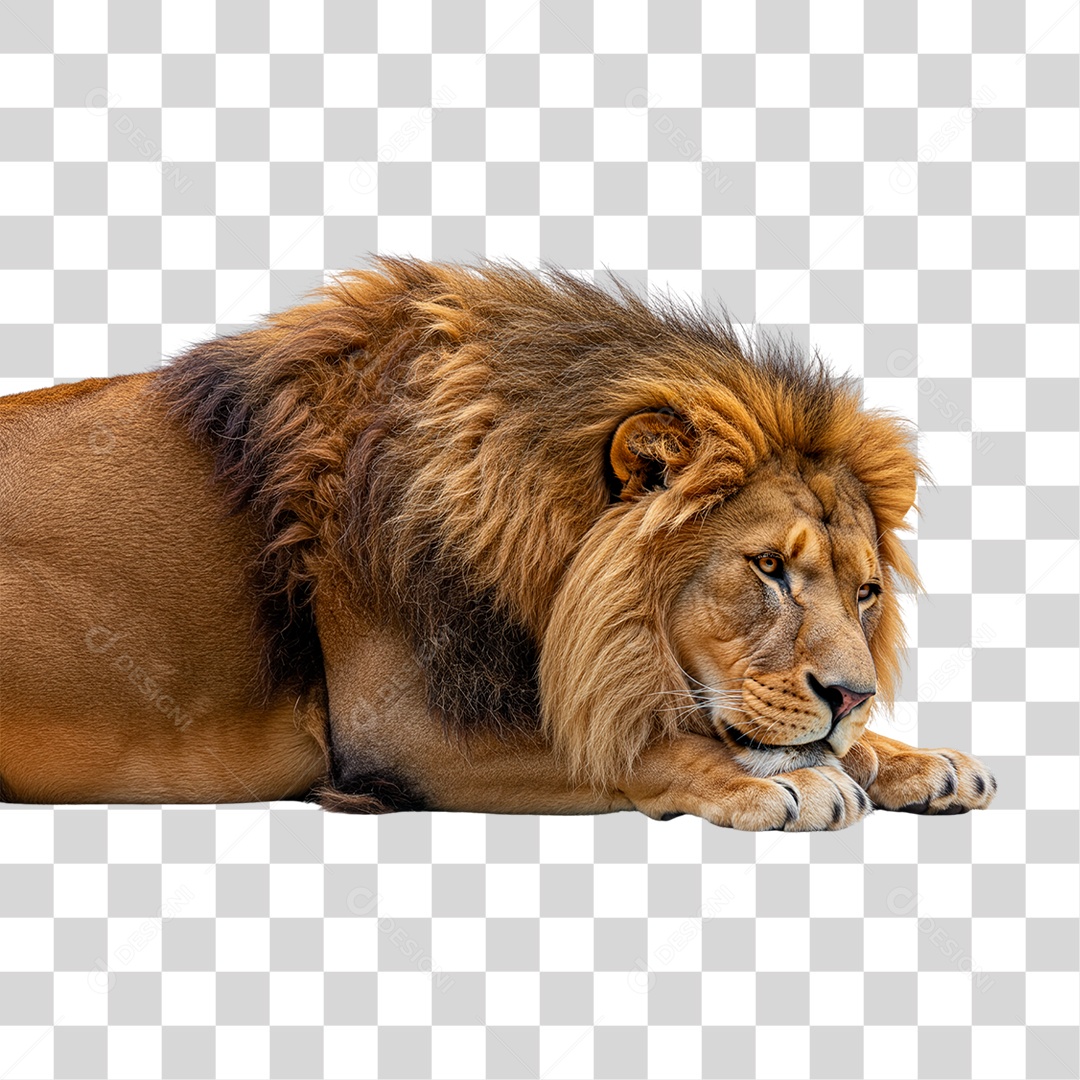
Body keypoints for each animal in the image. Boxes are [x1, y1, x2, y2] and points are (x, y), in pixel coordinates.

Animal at [0, 257, 996, 829]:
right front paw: (784, 784)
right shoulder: (397, 733)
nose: (852, 695)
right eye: (769, 569)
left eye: (866, 593)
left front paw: (912, 761)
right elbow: (631, 743)